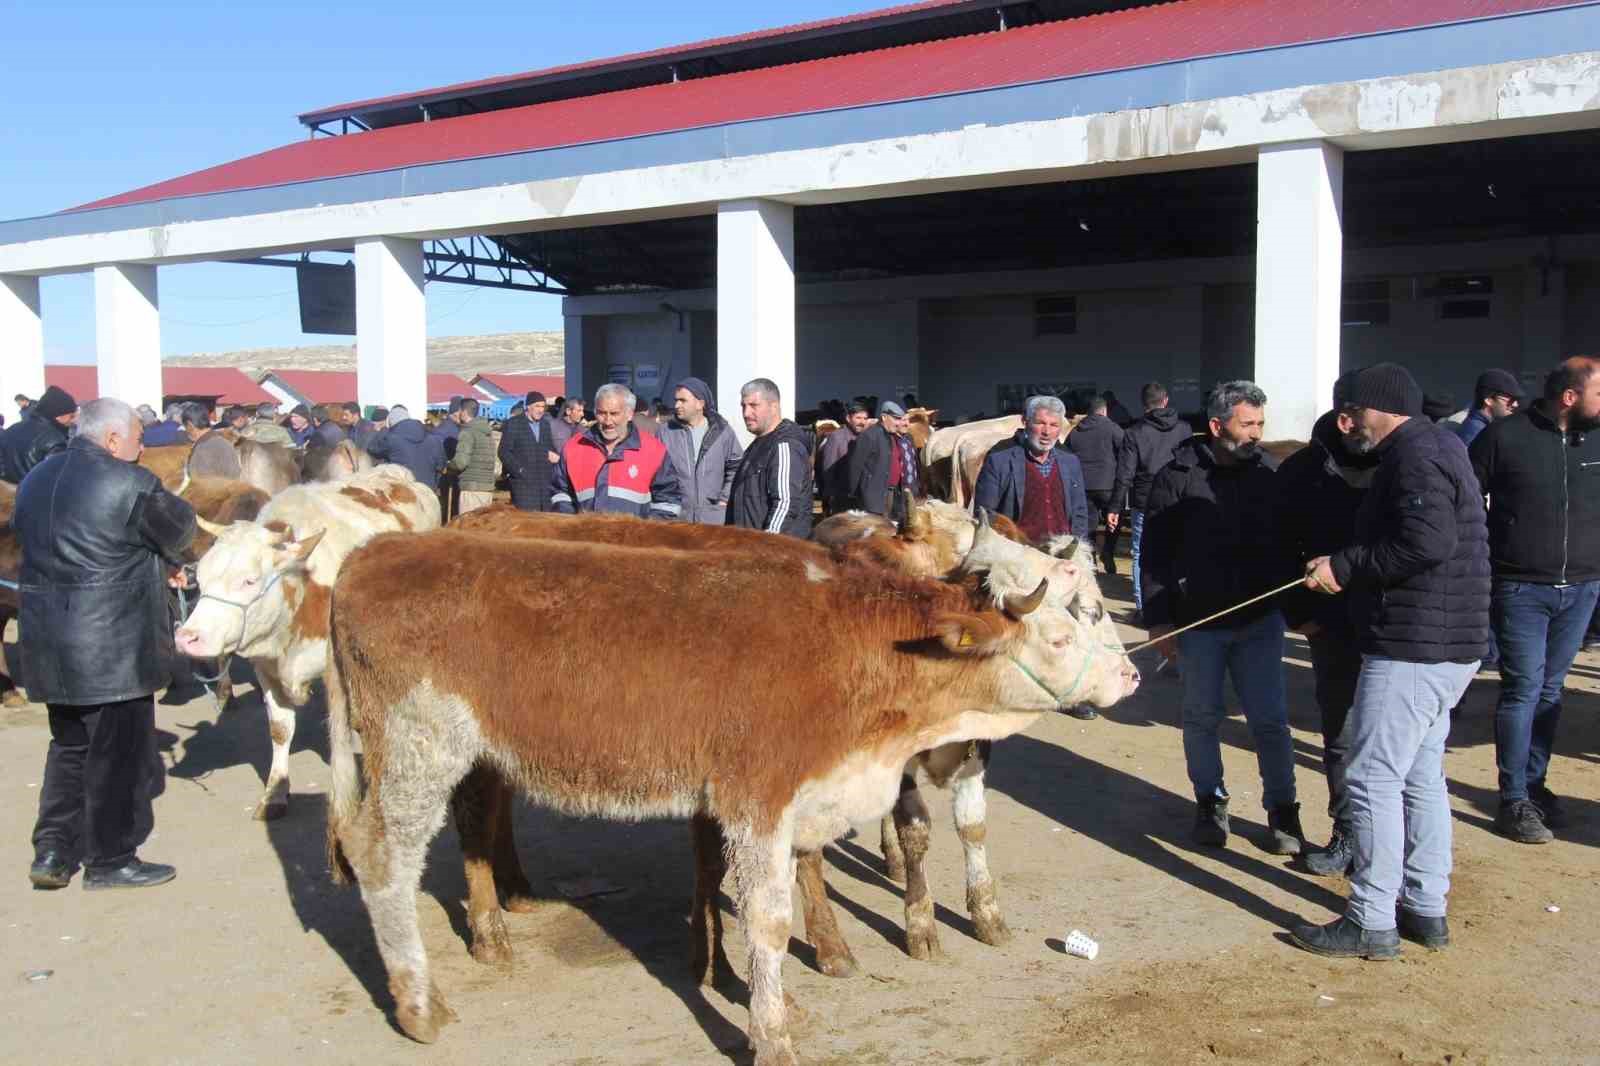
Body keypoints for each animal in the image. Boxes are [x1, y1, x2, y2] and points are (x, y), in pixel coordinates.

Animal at [173, 460, 444, 816]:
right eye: (201, 577)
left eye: (249, 581)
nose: (187, 638)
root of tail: (395, 473)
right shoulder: (266, 668)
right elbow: (280, 729)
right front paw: (275, 791)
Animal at [315, 528, 1139, 1056]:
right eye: (1062, 635)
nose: (1132, 673)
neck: (848, 643)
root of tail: (371, 554)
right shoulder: (757, 797)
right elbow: (768, 922)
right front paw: (772, 1035)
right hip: (419, 749)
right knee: (385, 859)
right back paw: (420, 1003)